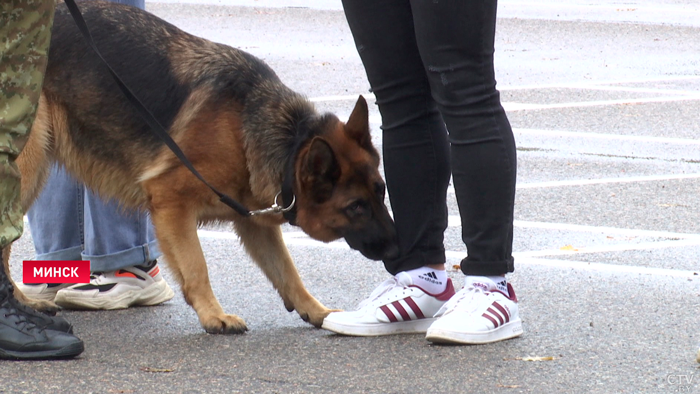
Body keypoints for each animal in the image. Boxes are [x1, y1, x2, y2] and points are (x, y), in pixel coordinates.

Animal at [2, 2, 400, 336]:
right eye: (355, 207)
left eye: (381, 192)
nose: (399, 248)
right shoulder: (170, 203)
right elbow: (197, 268)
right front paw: (214, 315)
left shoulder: (254, 223)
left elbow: (288, 272)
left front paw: (315, 310)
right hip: (28, 166)